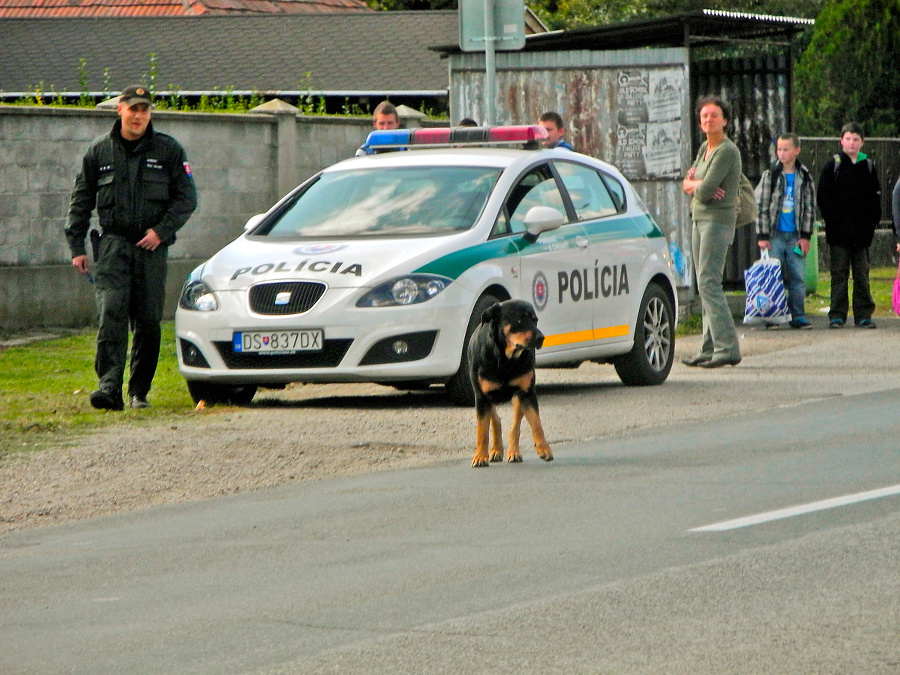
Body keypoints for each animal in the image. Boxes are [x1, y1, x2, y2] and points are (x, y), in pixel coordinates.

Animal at [468, 302, 552, 470]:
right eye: (520, 321)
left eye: (535, 320)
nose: (541, 338)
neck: (505, 359)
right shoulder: (482, 397)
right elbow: (482, 431)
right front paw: (480, 456)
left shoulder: (527, 393)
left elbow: (536, 424)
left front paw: (544, 449)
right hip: (489, 398)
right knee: (495, 420)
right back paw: (495, 450)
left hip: (518, 397)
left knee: (515, 426)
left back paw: (513, 452)